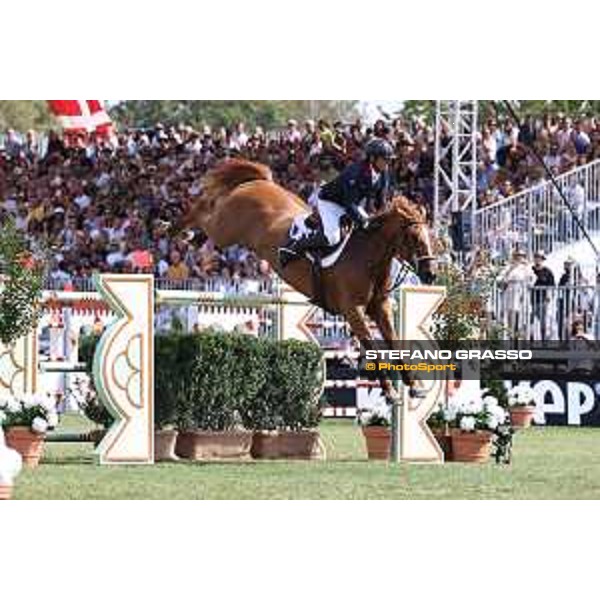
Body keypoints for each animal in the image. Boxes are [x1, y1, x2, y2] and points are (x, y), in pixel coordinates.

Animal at [183, 159, 436, 404]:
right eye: (414, 238)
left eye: (430, 236)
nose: (431, 274)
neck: (368, 256)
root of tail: (260, 182)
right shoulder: (352, 310)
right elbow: (371, 345)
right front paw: (391, 392)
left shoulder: (380, 307)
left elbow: (394, 343)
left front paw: (415, 386)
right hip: (225, 231)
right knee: (203, 212)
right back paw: (179, 230)